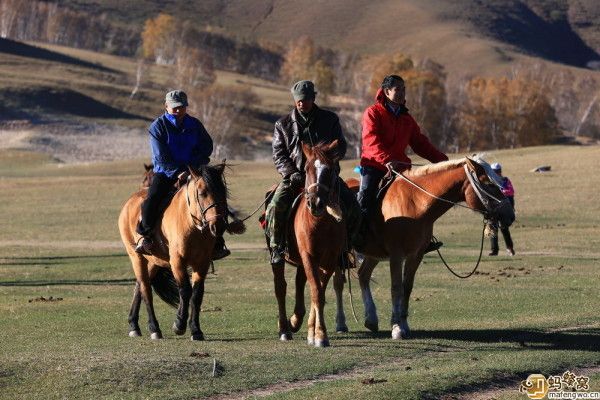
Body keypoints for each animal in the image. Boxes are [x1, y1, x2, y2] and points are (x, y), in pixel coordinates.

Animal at [270, 141, 344, 346]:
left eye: (330, 170)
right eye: (306, 168)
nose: (316, 203)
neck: (319, 224)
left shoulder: (329, 260)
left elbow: (318, 292)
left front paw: (314, 332)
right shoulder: (309, 256)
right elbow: (316, 291)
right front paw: (321, 335)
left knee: (299, 282)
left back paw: (295, 320)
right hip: (278, 257)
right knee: (280, 287)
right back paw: (284, 329)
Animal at [338, 156, 516, 340]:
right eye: (489, 184)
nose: (510, 215)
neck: (414, 203)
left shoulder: (416, 255)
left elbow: (407, 287)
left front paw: (404, 324)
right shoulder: (396, 255)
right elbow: (396, 288)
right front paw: (396, 327)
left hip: (374, 253)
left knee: (363, 275)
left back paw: (371, 319)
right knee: (339, 285)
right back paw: (341, 323)